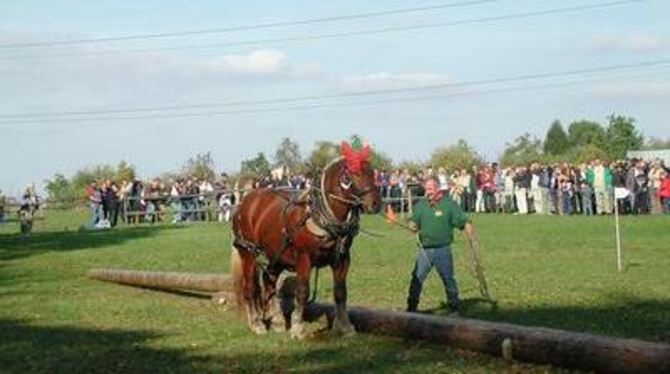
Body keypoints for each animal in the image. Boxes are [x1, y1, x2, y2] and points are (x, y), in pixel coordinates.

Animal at [231, 141, 380, 338]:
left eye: (372, 173)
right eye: (353, 174)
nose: (376, 203)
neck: (321, 215)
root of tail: (244, 203)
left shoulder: (342, 258)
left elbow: (340, 292)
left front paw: (345, 325)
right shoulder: (304, 258)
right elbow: (302, 292)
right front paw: (298, 328)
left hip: (275, 256)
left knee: (270, 283)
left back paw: (278, 321)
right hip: (248, 252)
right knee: (250, 288)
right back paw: (257, 323)